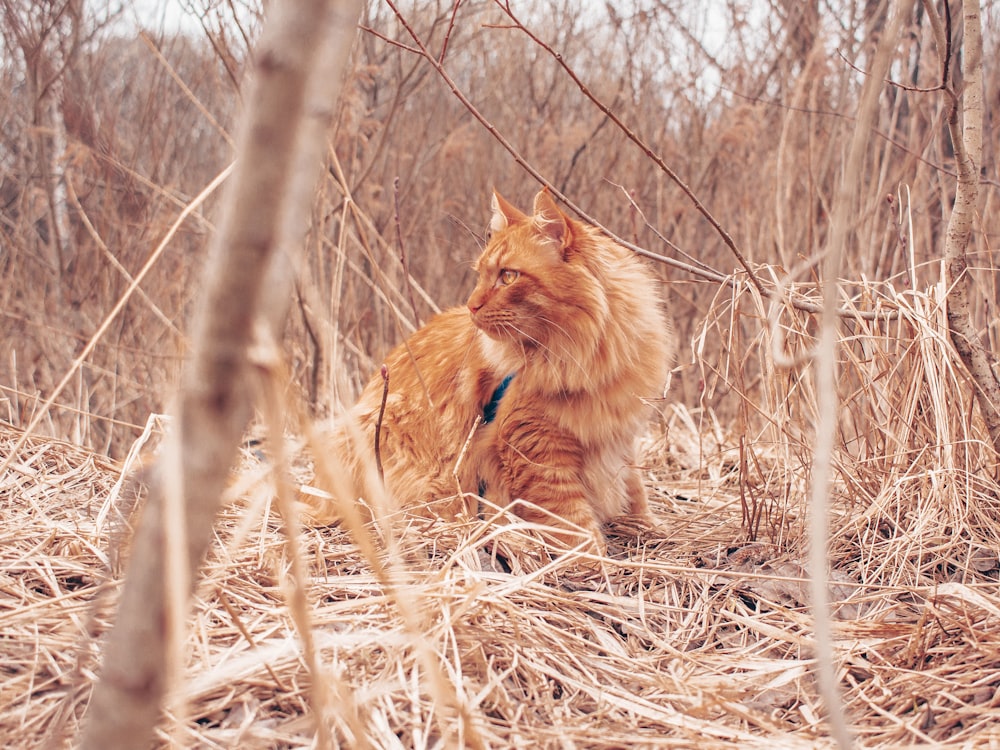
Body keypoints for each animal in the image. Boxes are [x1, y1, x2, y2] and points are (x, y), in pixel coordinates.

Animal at [306, 188, 672, 552]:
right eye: (481, 275)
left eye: (508, 276)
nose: (471, 306)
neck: (582, 357)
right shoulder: (536, 448)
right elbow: (574, 525)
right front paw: (594, 561)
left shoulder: (617, 435)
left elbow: (634, 488)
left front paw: (649, 528)